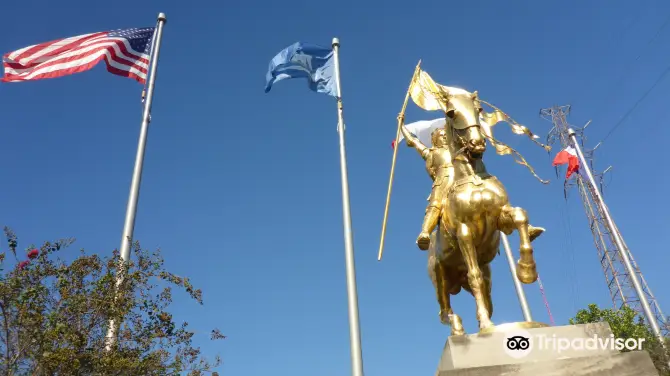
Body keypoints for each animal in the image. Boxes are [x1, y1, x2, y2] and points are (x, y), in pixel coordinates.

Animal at [430, 91, 544, 334]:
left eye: (479, 110)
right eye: (450, 113)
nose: (477, 143)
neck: (473, 179)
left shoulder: (500, 217)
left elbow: (520, 216)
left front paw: (526, 271)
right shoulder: (464, 232)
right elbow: (474, 276)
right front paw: (485, 324)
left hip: (485, 274)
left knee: (484, 294)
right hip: (440, 278)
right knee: (445, 310)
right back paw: (459, 328)